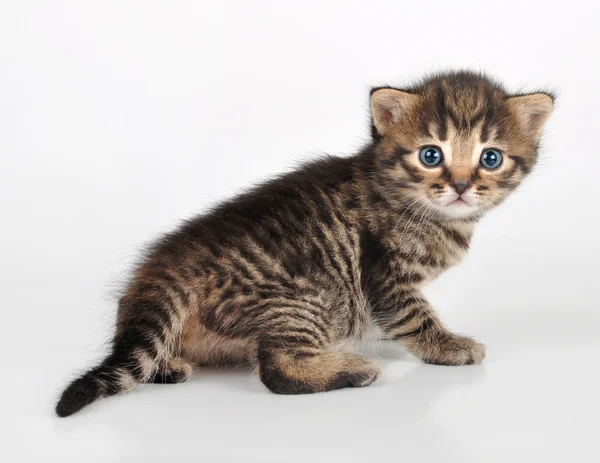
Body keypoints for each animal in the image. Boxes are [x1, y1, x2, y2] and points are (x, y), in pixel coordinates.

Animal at [56, 71, 552, 416]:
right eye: (431, 155)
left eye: (490, 158)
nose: (462, 186)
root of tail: (168, 268)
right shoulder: (384, 276)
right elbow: (413, 316)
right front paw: (447, 346)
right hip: (304, 298)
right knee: (278, 368)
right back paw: (351, 368)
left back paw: (169, 364)